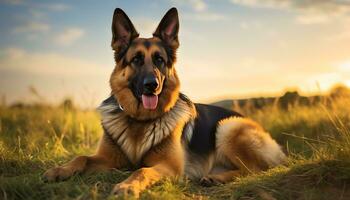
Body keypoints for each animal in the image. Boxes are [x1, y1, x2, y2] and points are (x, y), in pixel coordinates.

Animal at [42, 7, 286, 197]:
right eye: (136, 59)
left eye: (159, 60)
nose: (152, 85)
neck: (139, 121)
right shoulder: (108, 159)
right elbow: (81, 157)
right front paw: (59, 170)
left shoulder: (169, 166)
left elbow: (141, 170)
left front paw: (127, 187)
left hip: (227, 127)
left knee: (255, 169)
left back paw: (218, 178)